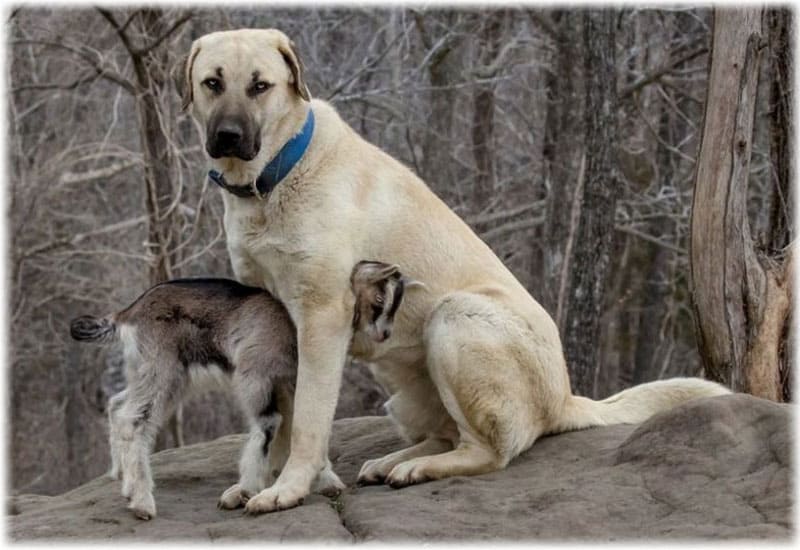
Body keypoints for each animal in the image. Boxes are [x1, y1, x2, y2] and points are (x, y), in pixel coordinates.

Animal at [178, 29, 736, 512]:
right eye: (212, 83)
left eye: (261, 86)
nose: (228, 135)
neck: (273, 176)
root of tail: (564, 398)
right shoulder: (275, 318)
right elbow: (284, 412)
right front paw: (262, 483)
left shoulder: (321, 318)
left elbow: (310, 417)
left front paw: (289, 487)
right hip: (400, 385)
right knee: (447, 434)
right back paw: (393, 462)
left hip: (454, 317)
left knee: (489, 451)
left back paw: (416, 469)